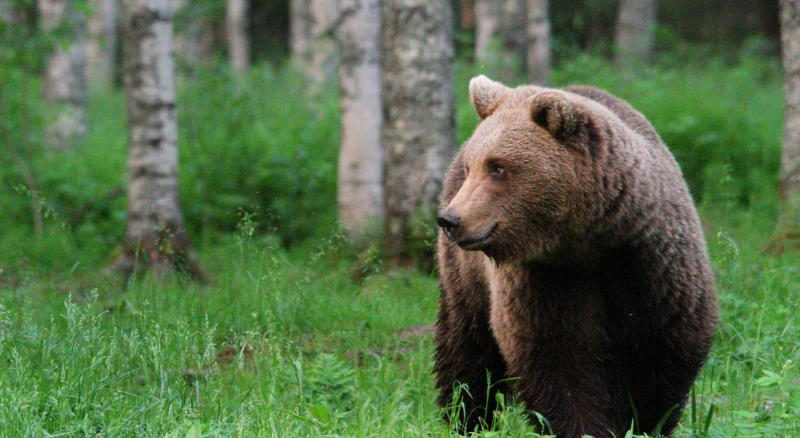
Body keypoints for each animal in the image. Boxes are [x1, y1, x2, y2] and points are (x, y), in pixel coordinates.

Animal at [433, 75, 718, 438]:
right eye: (473, 166)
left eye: (497, 167)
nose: (450, 220)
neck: (588, 239)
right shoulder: (548, 279)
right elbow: (560, 362)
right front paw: (586, 427)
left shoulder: (650, 265)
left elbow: (662, 353)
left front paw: (641, 422)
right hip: (465, 275)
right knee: (467, 345)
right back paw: (465, 416)